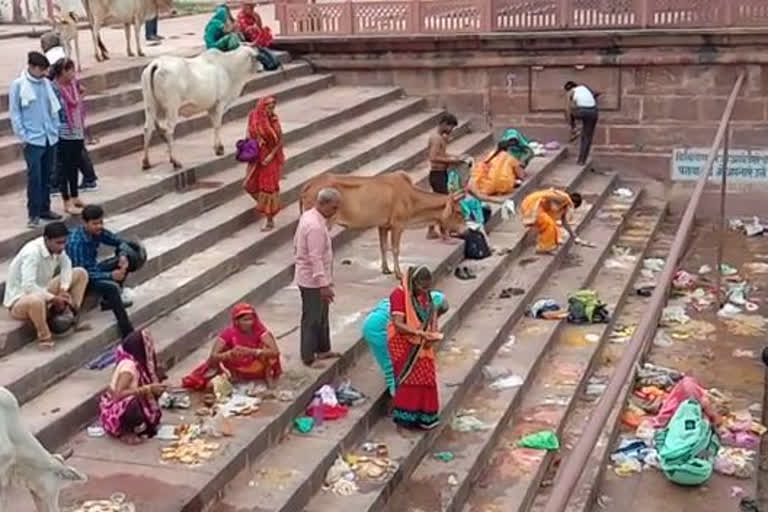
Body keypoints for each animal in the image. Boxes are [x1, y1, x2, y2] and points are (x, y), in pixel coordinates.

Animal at [300, 172, 468, 280]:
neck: (411, 199)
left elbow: (383, 246)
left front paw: (386, 269)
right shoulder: (398, 225)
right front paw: (398, 273)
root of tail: (308, 185)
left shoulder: (383, 226)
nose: (466, 230)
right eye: (459, 211)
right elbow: (395, 249)